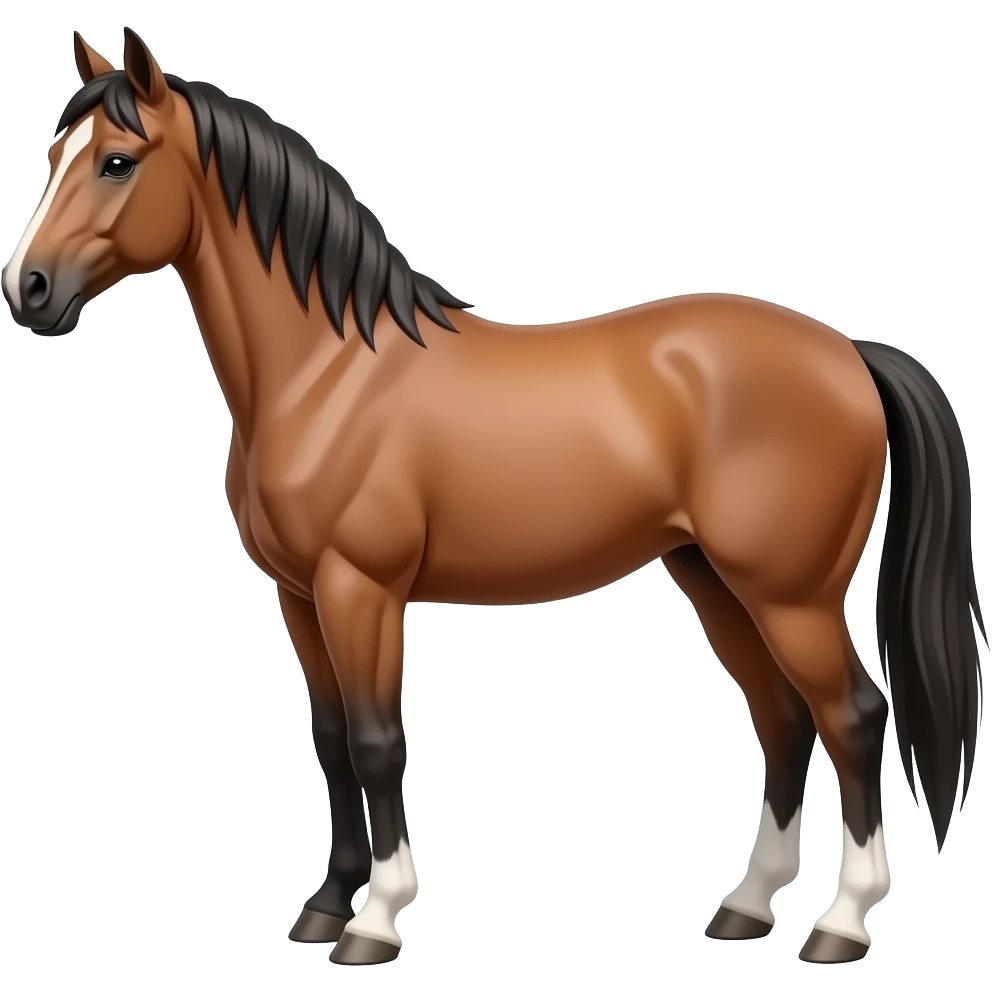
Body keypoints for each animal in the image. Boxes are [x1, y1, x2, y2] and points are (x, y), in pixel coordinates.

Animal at [2, 27, 986, 968]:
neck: (328, 373)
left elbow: (376, 742)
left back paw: (842, 924)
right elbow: (331, 740)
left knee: (853, 718)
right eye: (54, 156)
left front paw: (376, 922)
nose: (29, 289)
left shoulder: (363, 589)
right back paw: (746, 907)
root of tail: (849, 351)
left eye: (117, 161)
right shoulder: (300, 594)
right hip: (713, 579)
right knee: (782, 719)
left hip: (791, 595)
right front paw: (325, 906)